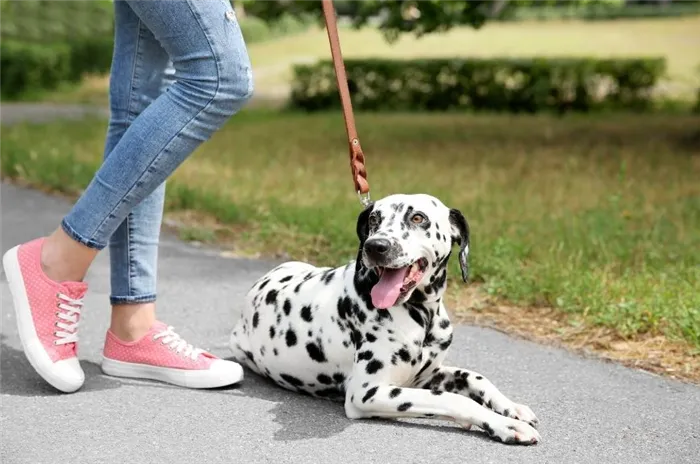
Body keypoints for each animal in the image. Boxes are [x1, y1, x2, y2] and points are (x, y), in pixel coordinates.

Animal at [230, 194, 540, 444]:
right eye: (374, 218)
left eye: (418, 218)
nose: (375, 246)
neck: (422, 314)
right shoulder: (368, 393)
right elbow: (454, 399)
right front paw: (503, 424)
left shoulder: (425, 375)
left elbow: (475, 377)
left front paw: (512, 407)